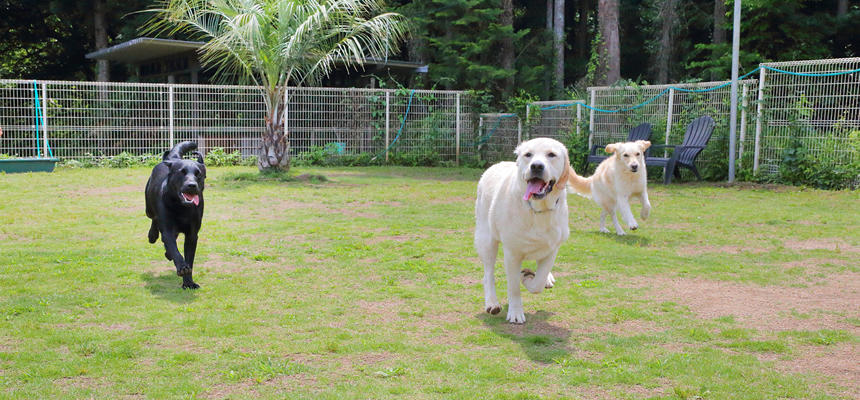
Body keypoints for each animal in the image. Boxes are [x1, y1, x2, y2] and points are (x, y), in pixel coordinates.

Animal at [145, 142, 206, 290]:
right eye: (182, 172)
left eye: (198, 174)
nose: (192, 185)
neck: (182, 207)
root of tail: (173, 158)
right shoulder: (167, 229)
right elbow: (174, 249)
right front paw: (182, 267)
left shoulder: (192, 235)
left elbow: (189, 258)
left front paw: (189, 282)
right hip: (148, 208)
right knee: (154, 219)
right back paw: (152, 235)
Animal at [470, 138, 576, 324]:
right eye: (528, 154)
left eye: (551, 154)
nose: (536, 166)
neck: (538, 210)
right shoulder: (512, 253)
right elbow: (513, 287)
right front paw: (516, 312)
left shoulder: (552, 249)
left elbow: (538, 283)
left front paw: (529, 277)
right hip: (486, 240)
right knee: (488, 274)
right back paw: (492, 303)